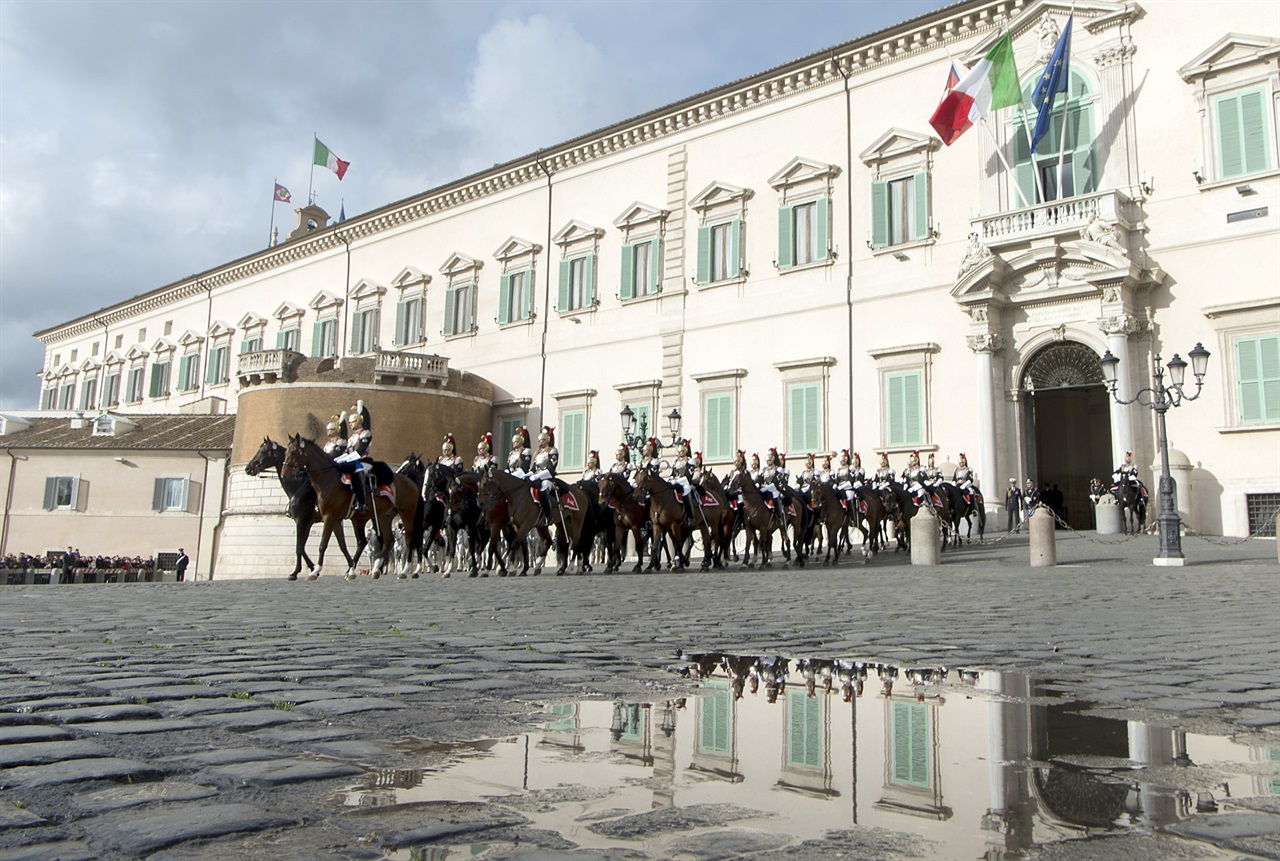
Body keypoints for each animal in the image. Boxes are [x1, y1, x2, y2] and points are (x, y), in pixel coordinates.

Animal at [245, 432, 325, 580]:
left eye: (263, 451)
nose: (248, 468)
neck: (297, 485)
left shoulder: (300, 521)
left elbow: (298, 547)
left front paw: (295, 572)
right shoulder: (307, 523)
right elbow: (302, 546)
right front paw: (312, 568)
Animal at [284, 432, 419, 580]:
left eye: (294, 452)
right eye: (286, 452)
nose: (284, 474)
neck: (328, 480)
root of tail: (410, 482)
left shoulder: (326, 518)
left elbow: (321, 544)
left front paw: (314, 571)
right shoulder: (335, 520)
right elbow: (341, 545)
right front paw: (351, 570)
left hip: (407, 513)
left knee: (409, 539)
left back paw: (404, 571)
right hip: (383, 517)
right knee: (387, 540)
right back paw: (376, 569)